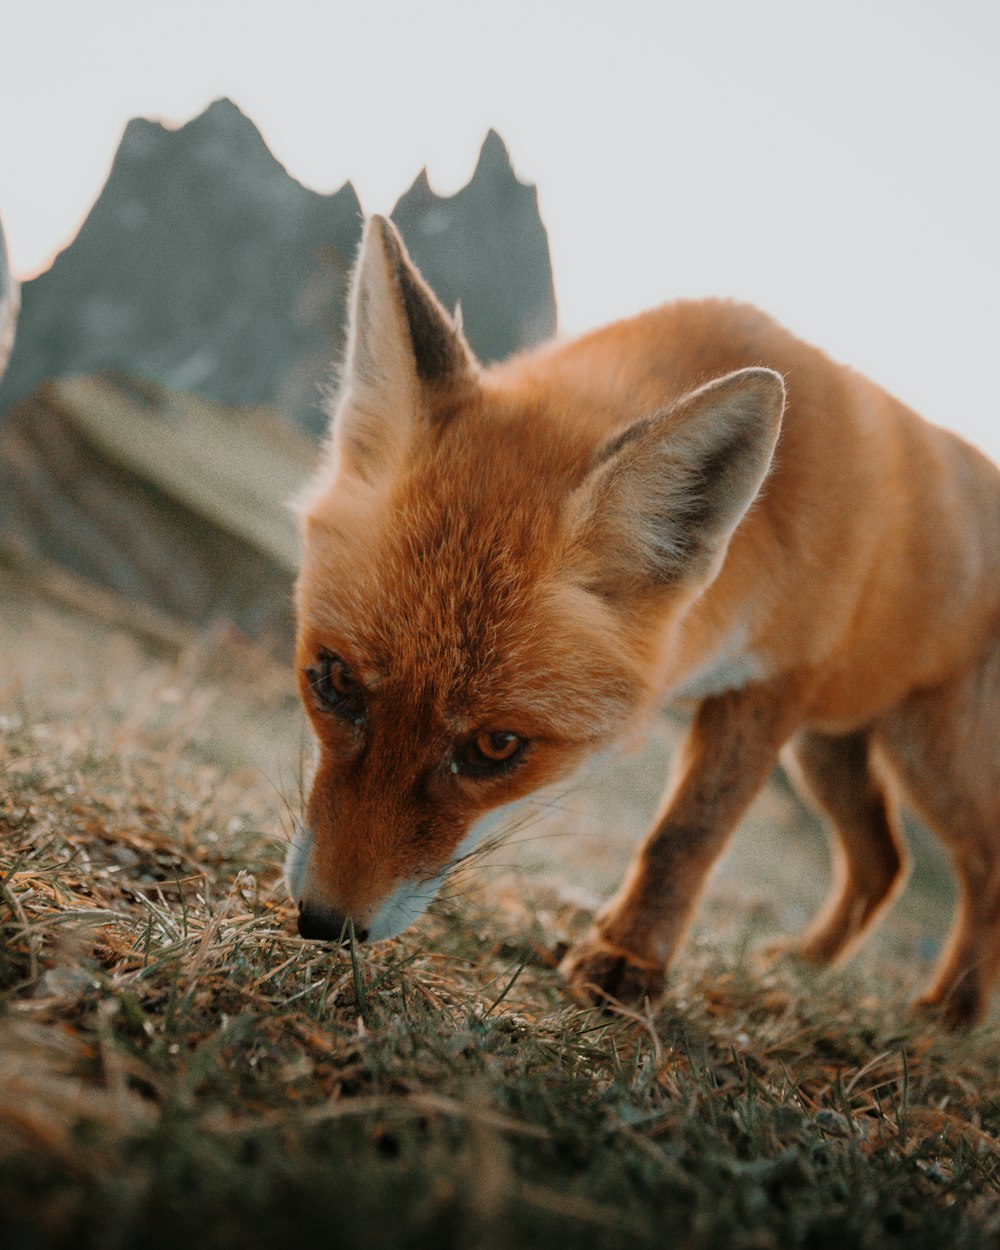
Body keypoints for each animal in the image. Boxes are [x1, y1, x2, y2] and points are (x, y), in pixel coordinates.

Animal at [287, 215, 1000, 1025]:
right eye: (335, 681)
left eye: (498, 747)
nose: (325, 923)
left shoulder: (776, 682)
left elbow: (685, 834)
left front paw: (630, 959)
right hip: (828, 752)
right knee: (883, 861)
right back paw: (808, 963)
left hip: (934, 761)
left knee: (984, 872)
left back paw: (953, 1008)